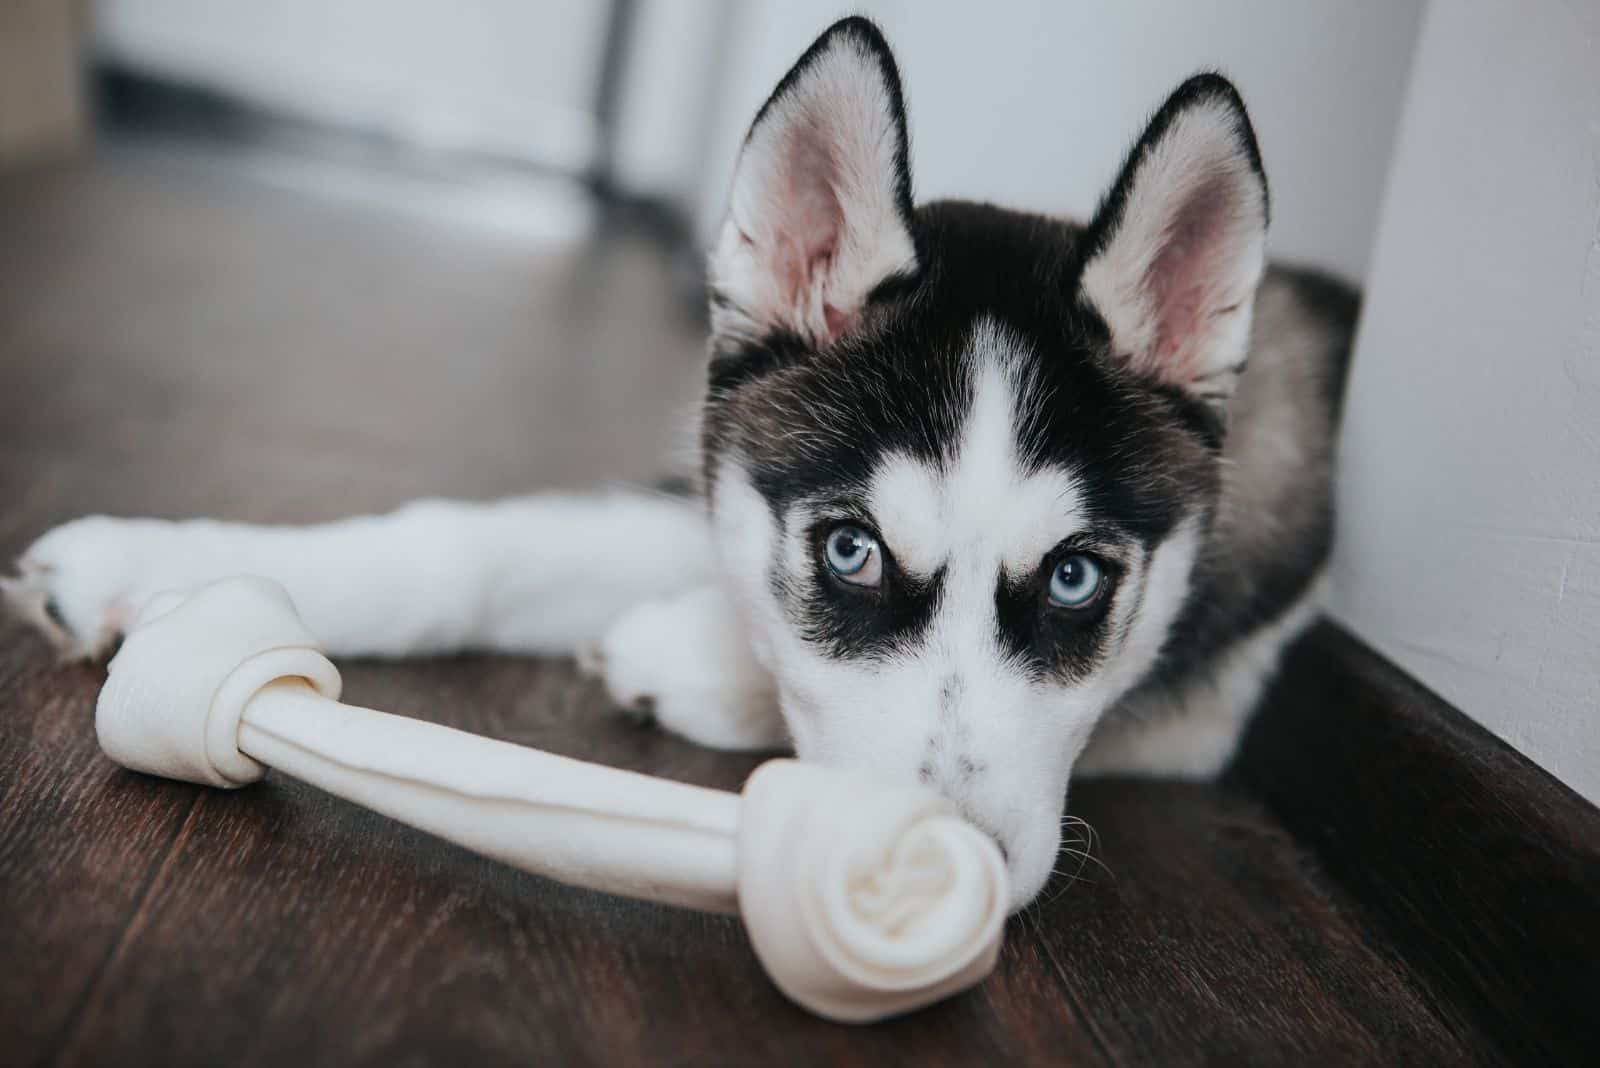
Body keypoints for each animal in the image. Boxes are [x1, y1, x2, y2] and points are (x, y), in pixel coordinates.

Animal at [6, 18, 1350, 908]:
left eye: (1074, 579)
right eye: (849, 549)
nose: (952, 861)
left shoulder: (1215, 688)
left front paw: (692, 658)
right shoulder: (731, 490)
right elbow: (472, 551)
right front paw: (150, 571)